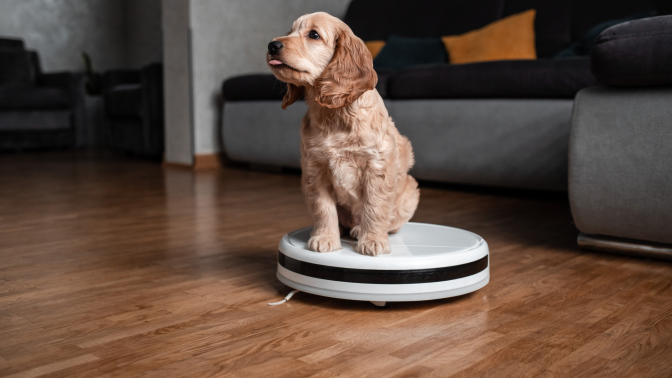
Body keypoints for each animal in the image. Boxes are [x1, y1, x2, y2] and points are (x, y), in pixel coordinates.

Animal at [266, 13, 418, 258]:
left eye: (314, 35)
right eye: (289, 32)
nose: (272, 45)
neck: (333, 114)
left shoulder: (376, 167)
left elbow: (375, 207)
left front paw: (373, 240)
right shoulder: (314, 169)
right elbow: (323, 208)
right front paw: (325, 238)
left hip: (410, 191)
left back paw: (360, 230)